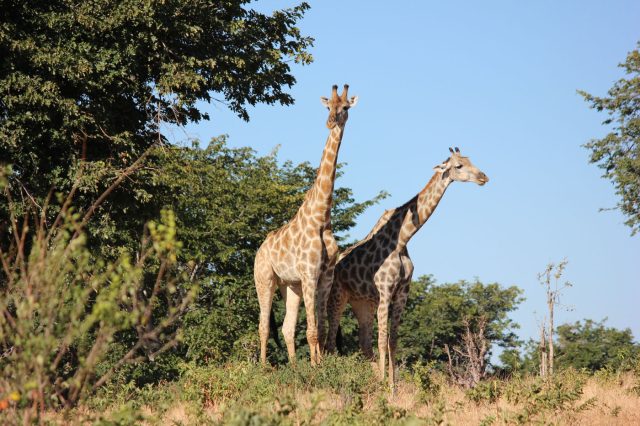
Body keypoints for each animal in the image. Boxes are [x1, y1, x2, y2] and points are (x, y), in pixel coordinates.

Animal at [252, 84, 358, 366]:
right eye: (328, 106)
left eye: (345, 107)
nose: (330, 121)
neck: (321, 217)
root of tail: (260, 248)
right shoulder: (310, 273)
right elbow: (311, 330)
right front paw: (315, 367)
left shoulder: (324, 277)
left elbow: (318, 329)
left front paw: (317, 366)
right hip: (264, 278)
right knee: (264, 326)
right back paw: (264, 367)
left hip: (291, 285)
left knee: (287, 327)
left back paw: (293, 366)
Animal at [328, 147, 488, 390]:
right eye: (458, 166)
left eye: (470, 160)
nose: (483, 177)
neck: (403, 239)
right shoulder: (385, 291)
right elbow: (382, 340)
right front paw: (385, 387)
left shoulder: (403, 292)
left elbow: (392, 341)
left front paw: (392, 387)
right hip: (338, 296)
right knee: (328, 339)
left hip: (362, 302)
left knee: (363, 343)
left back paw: (373, 380)